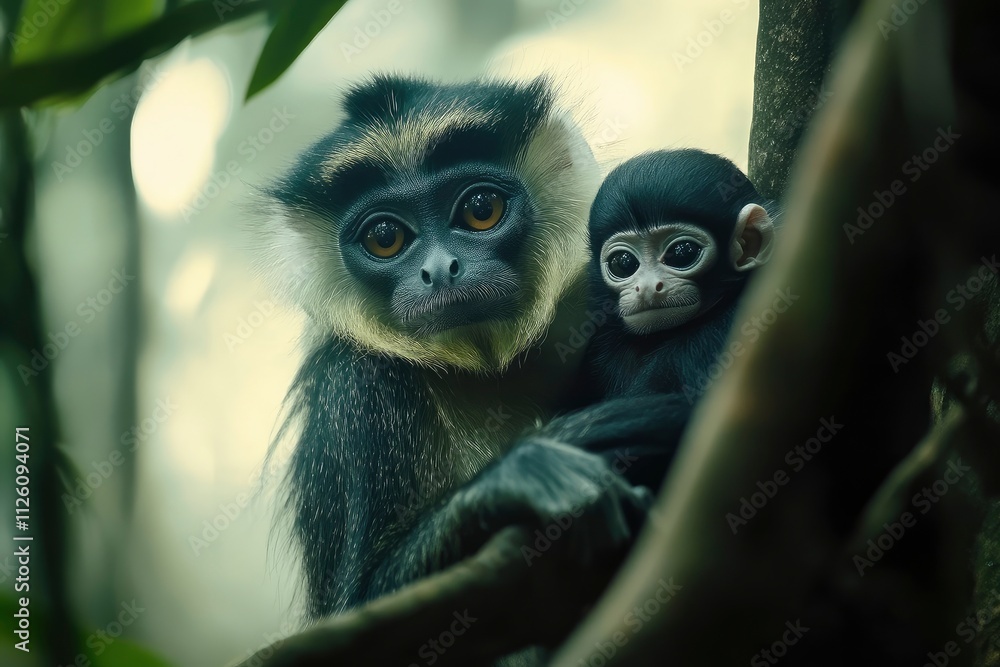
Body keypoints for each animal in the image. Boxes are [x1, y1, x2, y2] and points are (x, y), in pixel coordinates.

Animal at [254, 74, 682, 624]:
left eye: (481, 210)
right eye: (386, 237)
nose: (440, 270)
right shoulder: (352, 385)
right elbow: (359, 607)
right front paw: (529, 470)